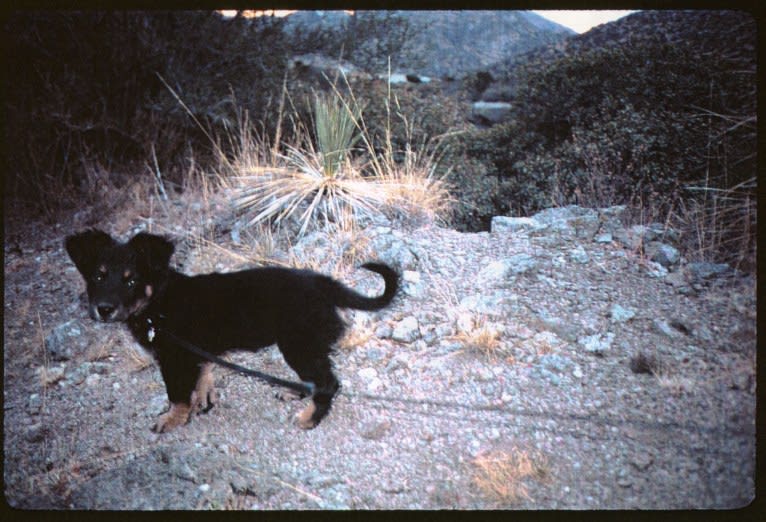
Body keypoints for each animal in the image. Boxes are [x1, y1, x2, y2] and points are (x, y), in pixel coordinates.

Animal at [64, 229, 402, 430]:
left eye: (131, 280)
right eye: (98, 276)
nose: (104, 309)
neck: (157, 301)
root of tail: (323, 283)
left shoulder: (174, 358)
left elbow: (176, 394)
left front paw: (172, 420)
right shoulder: (195, 354)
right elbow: (202, 377)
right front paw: (202, 403)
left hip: (298, 343)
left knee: (328, 382)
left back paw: (309, 418)